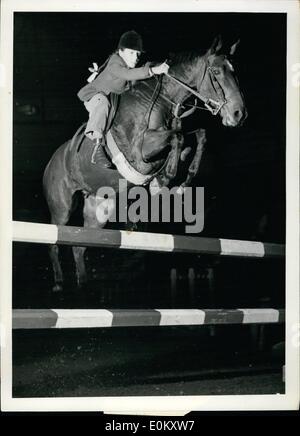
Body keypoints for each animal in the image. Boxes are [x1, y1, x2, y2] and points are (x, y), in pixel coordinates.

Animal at [43, 35, 247, 292]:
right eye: (217, 72)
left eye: (234, 71)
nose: (240, 114)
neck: (162, 102)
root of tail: (50, 162)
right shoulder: (141, 153)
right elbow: (177, 138)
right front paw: (165, 178)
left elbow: (197, 136)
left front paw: (182, 177)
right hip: (62, 208)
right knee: (54, 241)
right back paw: (60, 283)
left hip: (98, 210)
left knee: (79, 246)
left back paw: (83, 285)